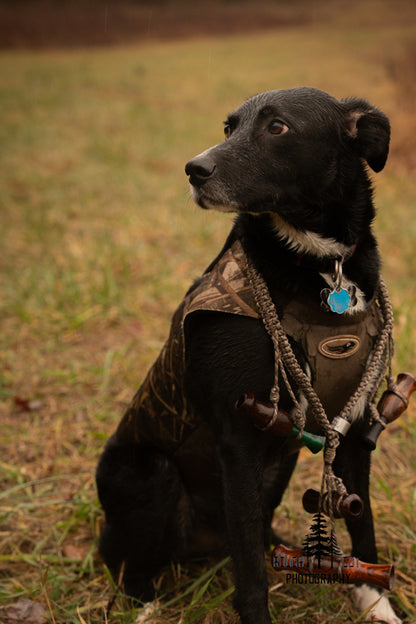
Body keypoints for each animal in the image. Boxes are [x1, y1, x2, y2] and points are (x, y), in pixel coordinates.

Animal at [96, 88, 402, 624]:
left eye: (277, 127)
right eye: (228, 128)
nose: (193, 169)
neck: (320, 265)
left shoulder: (356, 428)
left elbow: (363, 527)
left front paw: (375, 602)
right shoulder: (238, 440)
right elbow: (251, 576)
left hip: (279, 466)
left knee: (254, 532)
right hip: (150, 474)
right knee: (127, 560)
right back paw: (144, 602)